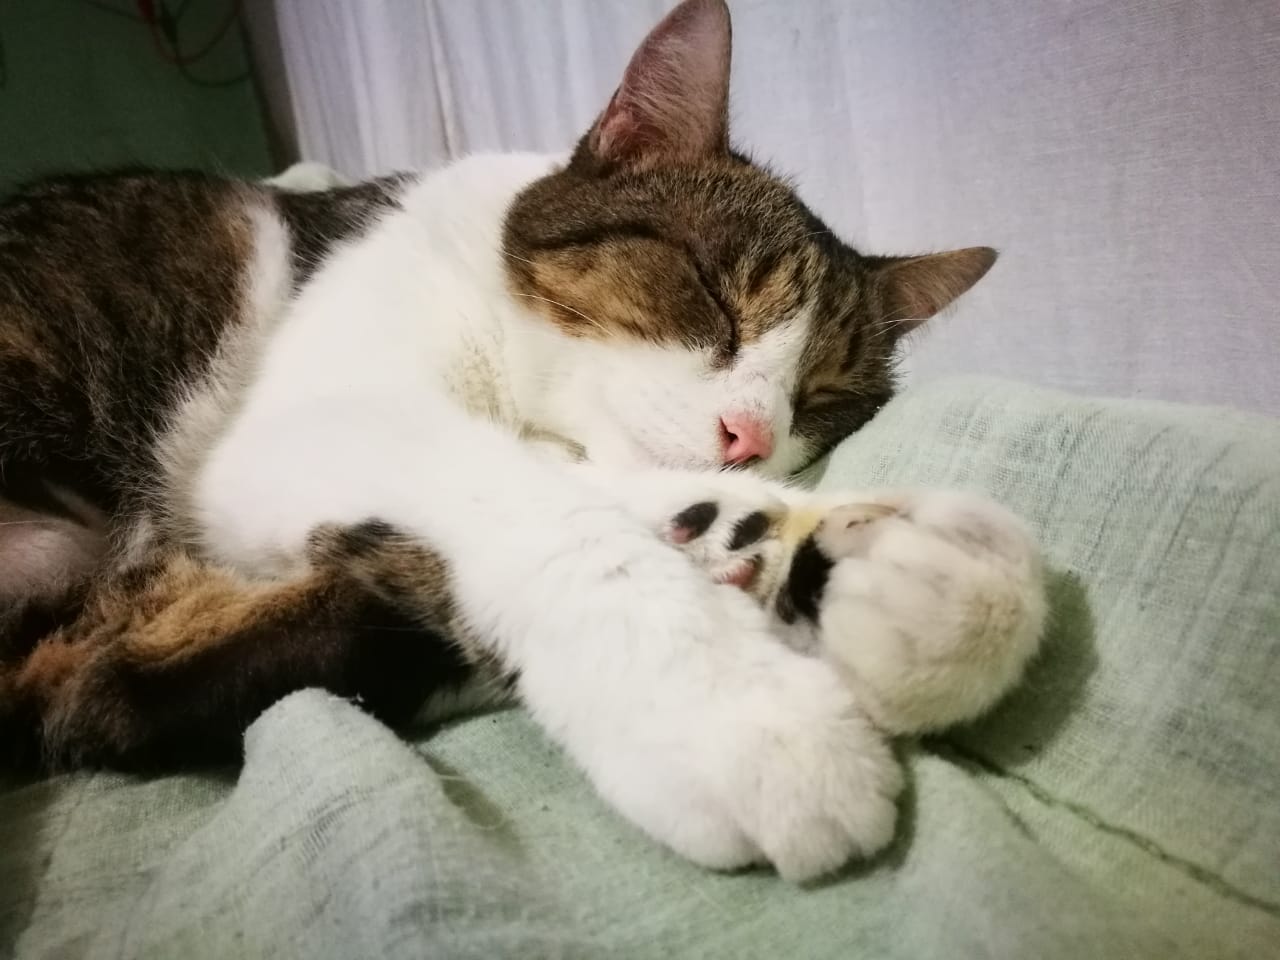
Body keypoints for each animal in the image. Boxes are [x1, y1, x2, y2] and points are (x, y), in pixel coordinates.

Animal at [0, 0, 1037, 882]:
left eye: (823, 399)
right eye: (713, 295)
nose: (747, 435)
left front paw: (819, 550)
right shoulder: (291, 434)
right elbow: (536, 510)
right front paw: (731, 709)